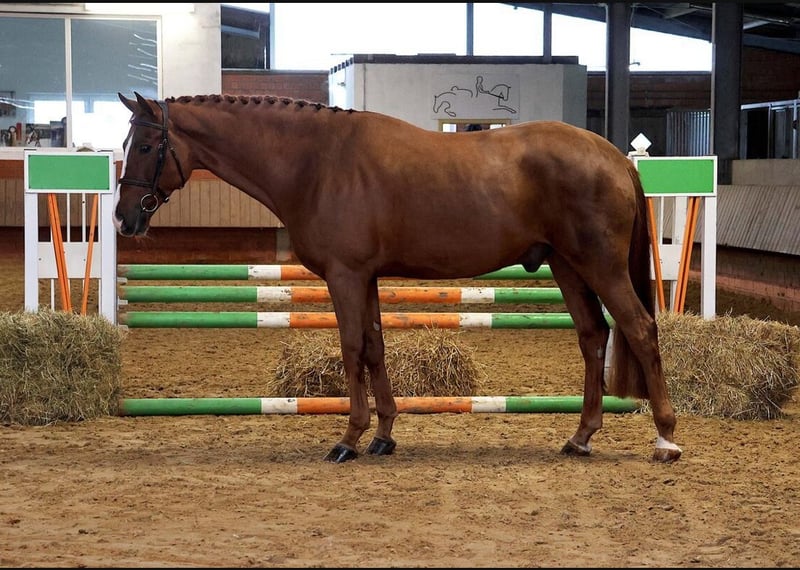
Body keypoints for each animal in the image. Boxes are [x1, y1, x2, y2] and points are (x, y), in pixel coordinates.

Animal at [114, 92, 682, 465]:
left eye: (144, 146)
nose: (124, 219)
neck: (317, 161)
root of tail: (612, 154)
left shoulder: (344, 276)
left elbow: (350, 348)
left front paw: (349, 439)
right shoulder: (364, 277)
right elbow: (374, 346)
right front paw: (384, 436)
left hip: (600, 267)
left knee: (639, 330)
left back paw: (665, 439)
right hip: (567, 266)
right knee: (593, 336)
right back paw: (581, 437)